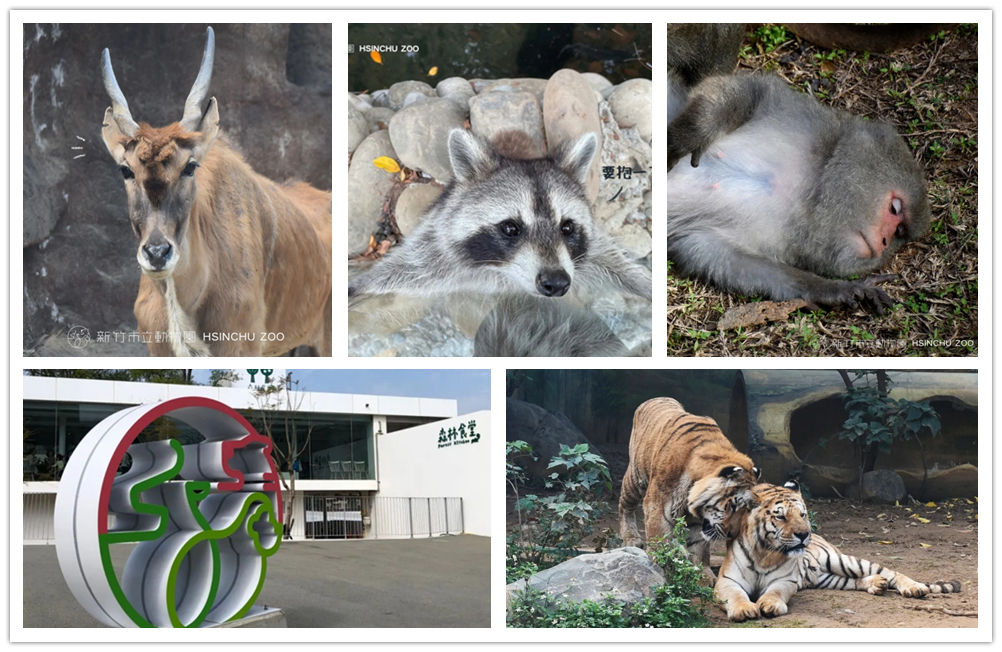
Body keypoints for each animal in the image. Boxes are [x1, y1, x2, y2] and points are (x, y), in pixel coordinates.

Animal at [348, 130, 653, 304]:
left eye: (566, 228)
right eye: (510, 228)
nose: (556, 283)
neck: (506, 274)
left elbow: (611, 260)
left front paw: (644, 284)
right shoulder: (439, 241)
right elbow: (412, 266)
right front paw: (365, 281)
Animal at [617, 394, 757, 580]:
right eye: (733, 506)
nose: (732, 534)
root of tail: (657, 397)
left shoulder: (698, 519)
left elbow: (697, 546)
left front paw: (700, 576)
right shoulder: (658, 505)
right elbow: (661, 539)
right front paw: (661, 569)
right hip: (635, 478)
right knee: (625, 506)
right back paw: (631, 538)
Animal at [665, 74, 929, 314]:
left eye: (899, 232)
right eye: (894, 209)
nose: (884, 243)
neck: (808, 191)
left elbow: (714, 254)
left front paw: (834, 289)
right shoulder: (797, 114)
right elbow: (750, 92)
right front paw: (693, 133)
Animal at [717, 478, 957, 620]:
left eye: (802, 514)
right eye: (781, 516)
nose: (804, 534)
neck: (764, 553)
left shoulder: (785, 580)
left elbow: (775, 591)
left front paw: (769, 604)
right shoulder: (728, 580)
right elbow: (735, 595)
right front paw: (744, 609)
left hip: (842, 561)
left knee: (891, 572)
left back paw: (914, 588)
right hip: (829, 578)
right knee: (857, 580)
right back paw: (877, 585)